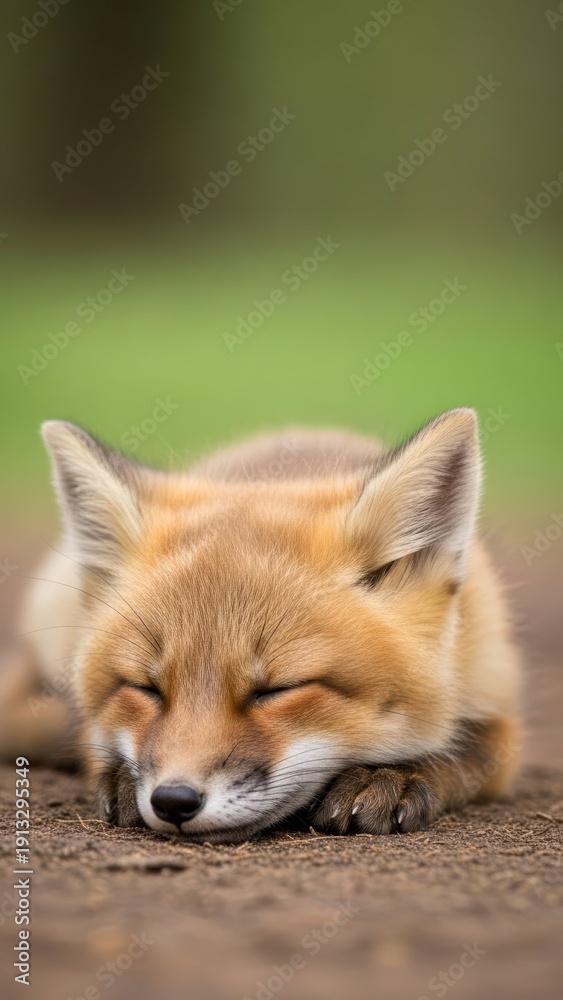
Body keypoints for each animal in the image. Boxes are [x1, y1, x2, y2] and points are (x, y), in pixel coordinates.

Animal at [0, 408, 521, 842]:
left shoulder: (497, 700)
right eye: (146, 688)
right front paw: (121, 779)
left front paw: (392, 775)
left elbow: (466, 751)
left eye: (276, 690)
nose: (173, 800)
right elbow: (93, 739)